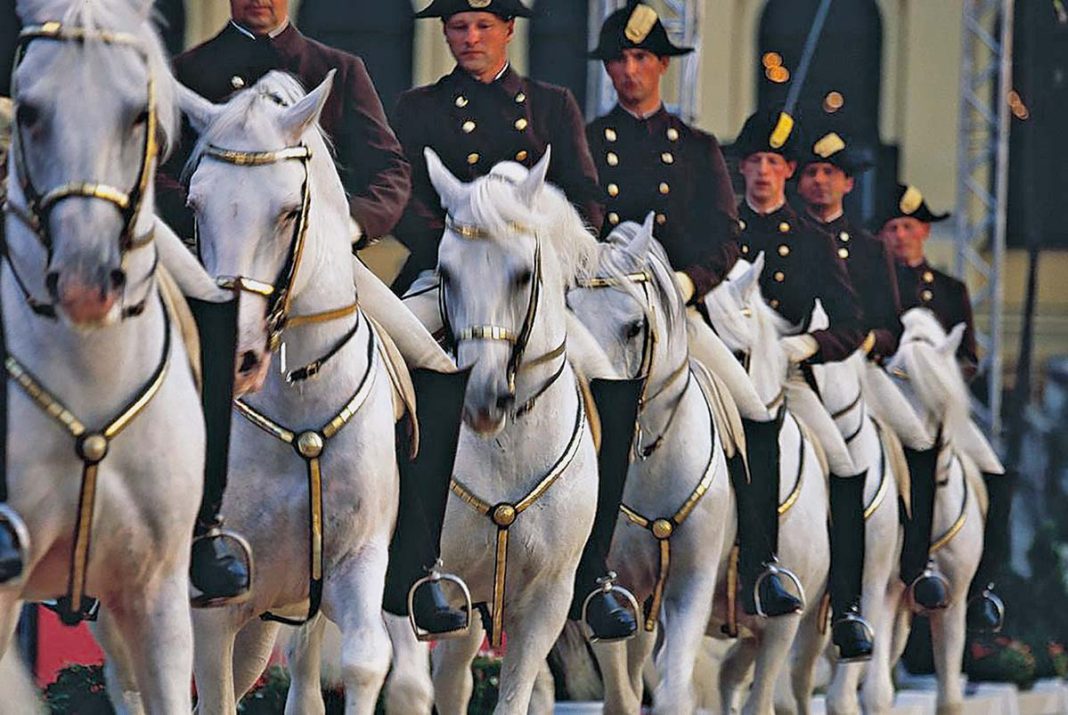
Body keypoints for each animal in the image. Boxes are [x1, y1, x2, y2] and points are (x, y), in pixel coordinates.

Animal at [176, 71, 400, 714]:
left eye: (289, 211)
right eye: (194, 205)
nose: (238, 354)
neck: (300, 409)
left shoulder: (355, 561)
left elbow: (363, 661)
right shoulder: (213, 596)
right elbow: (215, 692)